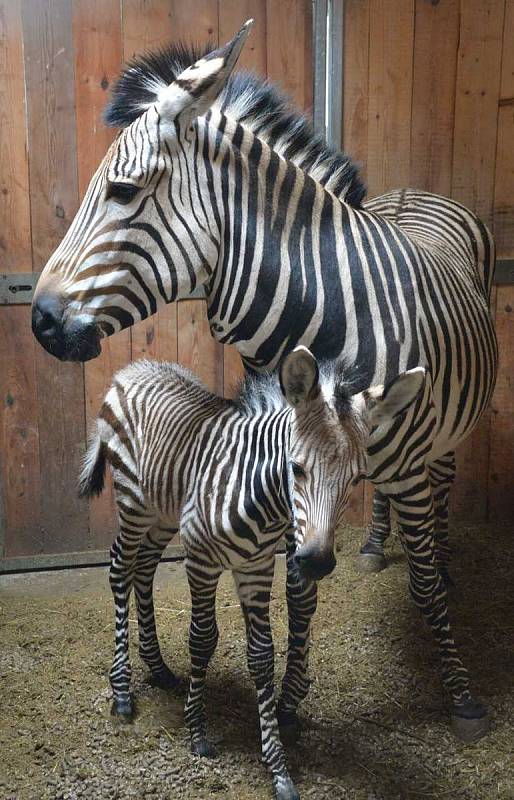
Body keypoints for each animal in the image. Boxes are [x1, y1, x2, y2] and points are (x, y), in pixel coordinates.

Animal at [33, 21, 496, 740]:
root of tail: (414, 193)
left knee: (440, 497)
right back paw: (375, 543)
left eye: (123, 192)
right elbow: (297, 586)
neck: (320, 319)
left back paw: (442, 565)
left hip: (437, 440)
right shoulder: (285, 463)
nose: (39, 320)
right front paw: (290, 699)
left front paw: (461, 695)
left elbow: (416, 583)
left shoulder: (397, 461)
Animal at [77, 346, 420, 796]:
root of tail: (135, 368)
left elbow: (261, 656)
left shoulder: (256, 568)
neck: (262, 497)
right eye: (297, 468)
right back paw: (121, 690)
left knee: (145, 568)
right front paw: (197, 732)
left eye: (357, 479)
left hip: (164, 512)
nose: (316, 562)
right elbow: (203, 639)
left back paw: (159, 669)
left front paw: (277, 766)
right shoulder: (201, 560)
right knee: (120, 568)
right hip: (133, 501)